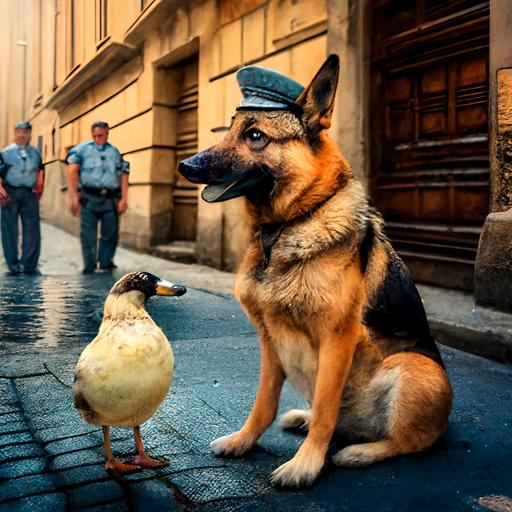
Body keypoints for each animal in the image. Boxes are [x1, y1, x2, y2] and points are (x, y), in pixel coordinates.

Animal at [180, 56, 452, 488]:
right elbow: (264, 402)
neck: (284, 227)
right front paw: (245, 441)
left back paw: (360, 451)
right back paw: (305, 419)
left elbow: (327, 406)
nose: (185, 165)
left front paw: (306, 465)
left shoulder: (336, 338)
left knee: (409, 441)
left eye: (255, 135)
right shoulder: (270, 340)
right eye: (230, 131)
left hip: (414, 367)